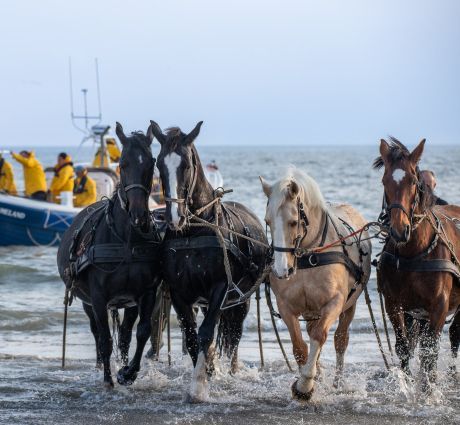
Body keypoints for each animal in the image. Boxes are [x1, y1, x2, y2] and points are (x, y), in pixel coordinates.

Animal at [57, 123, 162, 388]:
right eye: (122, 164)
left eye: (151, 162)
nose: (139, 215)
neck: (126, 239)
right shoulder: (97, 296)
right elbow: (104, 338)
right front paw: (108, 379)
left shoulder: (145, 293)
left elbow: (142, 331)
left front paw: (128, 372)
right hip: (87, 301)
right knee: (96, 331)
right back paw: (99, 366)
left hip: (128, 302)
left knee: (124, 334)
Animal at [152, 119, 266, 400]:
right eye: (158, 163)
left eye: (187, 164)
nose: (174, 217)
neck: (194, 230)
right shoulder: (179, 292)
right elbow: (192, 336)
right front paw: (204, 372)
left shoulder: (220, 288)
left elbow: (205, 334)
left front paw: (200, 384)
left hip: (241, 300)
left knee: (234, 336)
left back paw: (232, 370)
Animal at [374, 137, 460, 390]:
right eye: (384, 180)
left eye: (413, 181)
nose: (399, 230)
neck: (414, 254)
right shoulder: (394, 304)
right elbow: (404, 346)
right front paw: (407, 384)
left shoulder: (439, 305)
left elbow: (430, 351)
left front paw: (429, 390)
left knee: (454, 336)